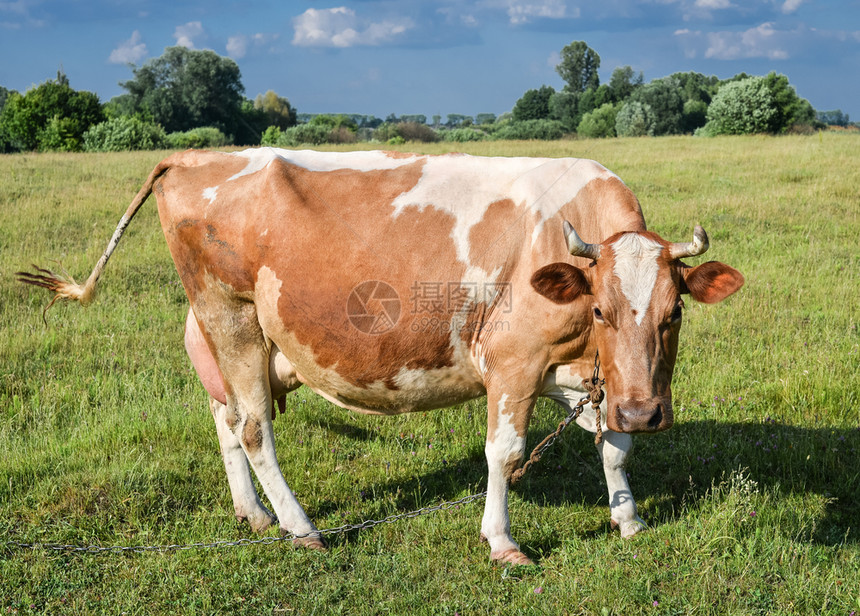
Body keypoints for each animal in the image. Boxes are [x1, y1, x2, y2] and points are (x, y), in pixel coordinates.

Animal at [21, 147, 744, 564]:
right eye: (600, 311)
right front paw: (503, 542)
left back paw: (253, 515)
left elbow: (614, 446)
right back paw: (300, 527)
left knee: (225, 418)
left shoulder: (591, 374)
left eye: (674, 314)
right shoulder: (513, 358)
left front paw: (630, 520)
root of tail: (191, 156)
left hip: (224, 334)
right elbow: (504, 453)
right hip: (230, 316)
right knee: (253, 428)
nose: (649, 412)